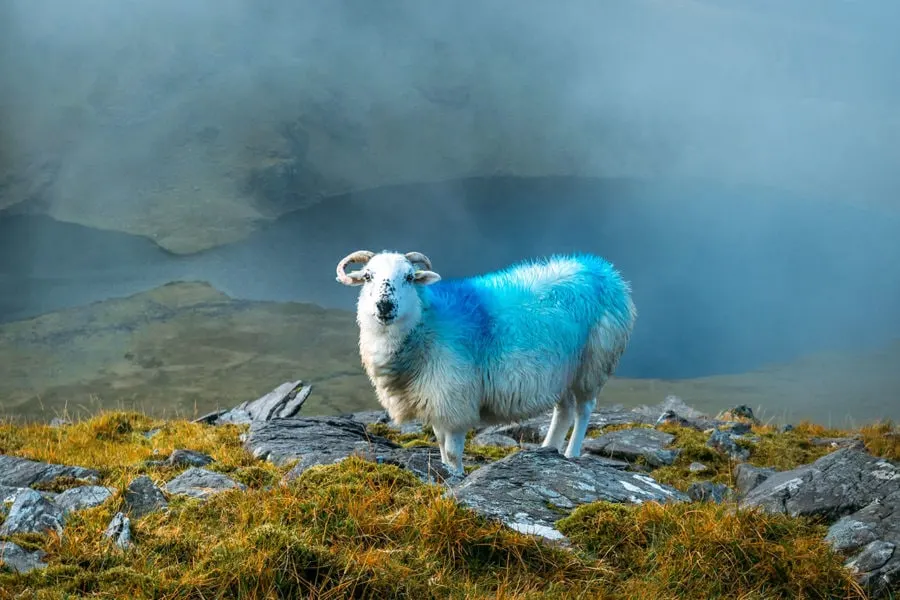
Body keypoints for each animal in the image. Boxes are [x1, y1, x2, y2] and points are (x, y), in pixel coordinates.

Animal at [334, 247, 636, 474]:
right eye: (368, 276)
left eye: (409, 277)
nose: (385, 306)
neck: (426, 325)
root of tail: (604, 270)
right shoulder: (435, 400)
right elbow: (441, 445)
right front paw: (446, 472)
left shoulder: (454, 399)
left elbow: (452, 451)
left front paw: (455, 477)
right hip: (563, 370)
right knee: (564, 411)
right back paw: (548, 450)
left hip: (593, 364)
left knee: (584, 410)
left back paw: (572, 453)